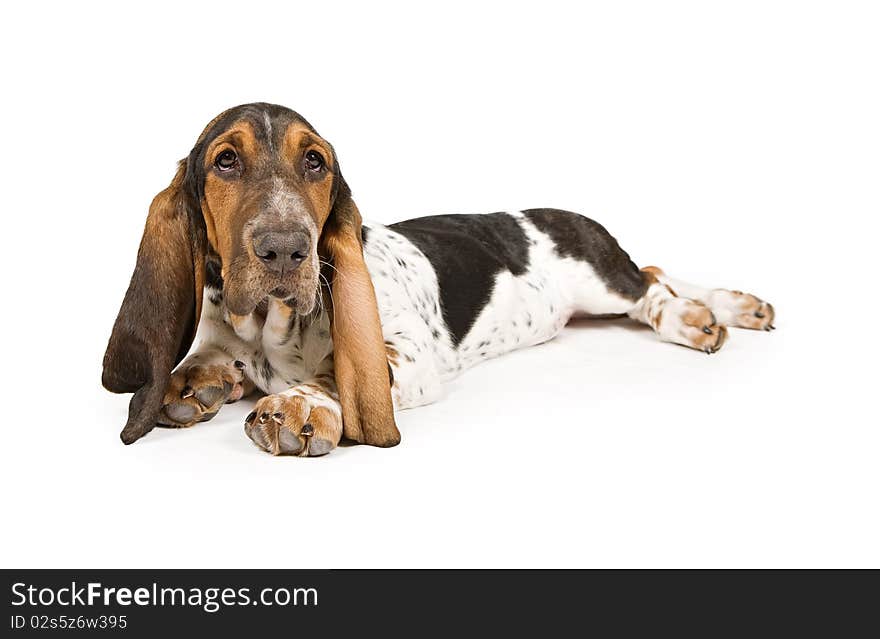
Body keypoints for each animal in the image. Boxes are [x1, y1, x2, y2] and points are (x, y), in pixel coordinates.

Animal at [105, 104, 776, 456]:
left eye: (315, 162)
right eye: (225, 161)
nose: (286, 249)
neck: (272, 324)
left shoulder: (406, 354)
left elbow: (340, 374)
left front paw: (298, 404)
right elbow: (208, 356)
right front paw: (189, 385)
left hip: (599, 278)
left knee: (650, 287)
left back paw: (702, 316)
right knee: (655, 270)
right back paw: (736, 305)